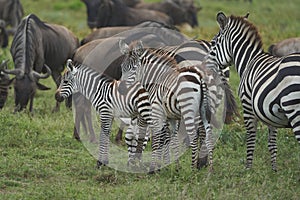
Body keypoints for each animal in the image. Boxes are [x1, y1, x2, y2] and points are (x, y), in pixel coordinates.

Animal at [207, 11, 300, 170]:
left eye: (213, 43)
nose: (205, 65)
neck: (249, 61)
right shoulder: (270, 112)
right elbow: (272, 144)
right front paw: (274, 170)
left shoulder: (247, 104)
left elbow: (250, 137)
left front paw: (248, 169)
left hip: (294, 108)